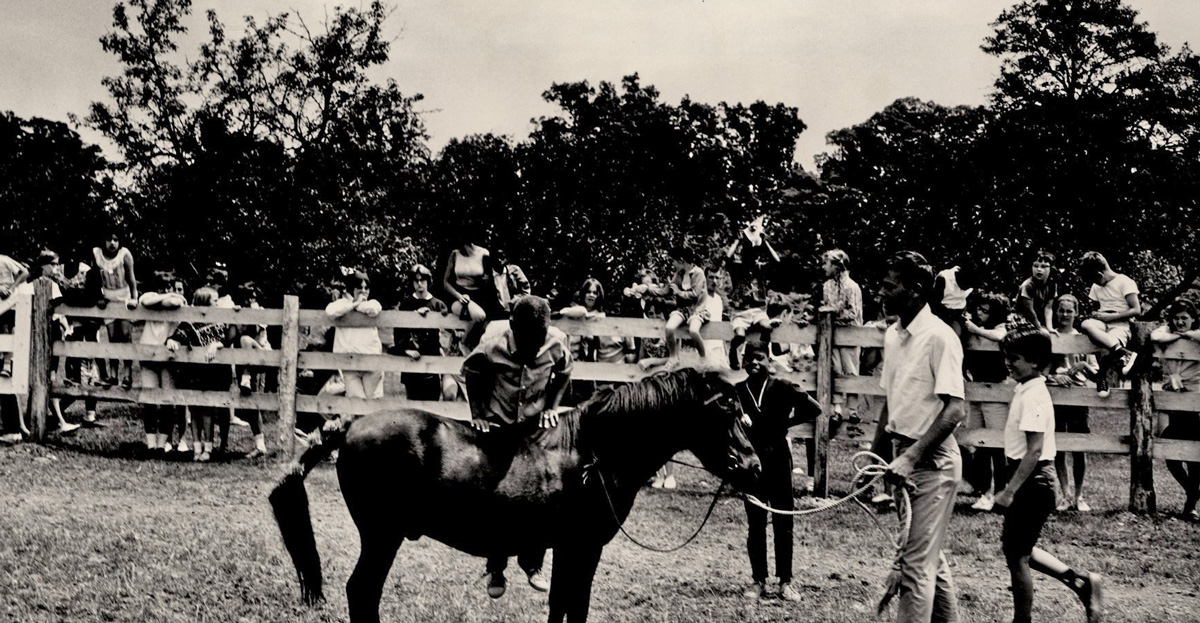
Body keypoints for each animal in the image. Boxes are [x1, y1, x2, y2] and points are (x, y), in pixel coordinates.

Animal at [271, 367, 758, 619]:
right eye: (725, 411)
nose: (753, 465)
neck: (591, 454)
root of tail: (351, 425)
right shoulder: (583, 547)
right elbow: (574, 605)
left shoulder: (568, 549)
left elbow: (563, 603)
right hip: (381, 536)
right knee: (361, 591)